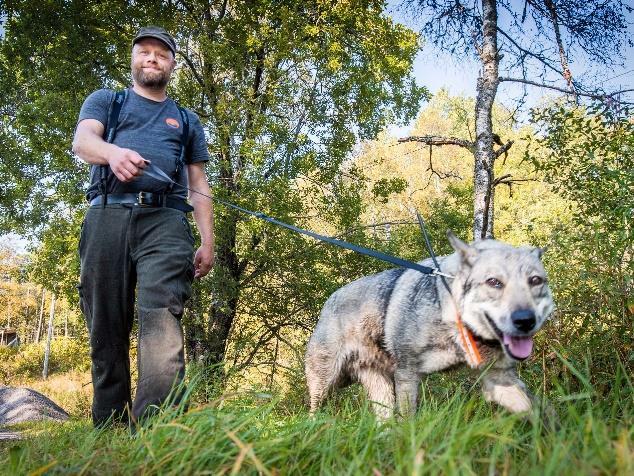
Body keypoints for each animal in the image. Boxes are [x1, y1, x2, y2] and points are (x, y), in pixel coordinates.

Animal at [304, 232, 552, 418]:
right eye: (494, 282)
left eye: (535, 281)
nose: (525, 320)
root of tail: (329, 299)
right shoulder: (407, 375)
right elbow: (407, 422)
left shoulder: (499, 379)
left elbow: (540, 412)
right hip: (326, 384)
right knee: (313, 413)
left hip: (380, 390)